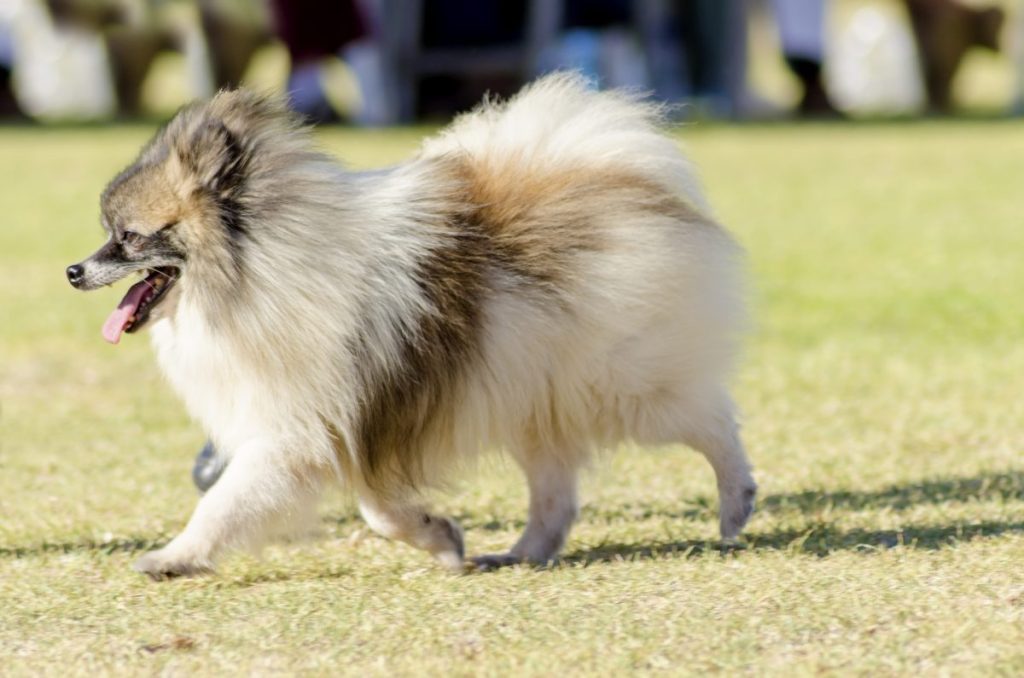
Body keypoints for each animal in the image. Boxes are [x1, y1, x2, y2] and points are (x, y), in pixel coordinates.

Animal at [64, 75, 753, 585]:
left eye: (128, 237)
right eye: (107, 234)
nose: (72, 270)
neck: (257, 271)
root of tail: (609, 176)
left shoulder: (297, 434)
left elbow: (226, 502)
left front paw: (175, 556)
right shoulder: (343, 425)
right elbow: (379, 509)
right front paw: (442, 538)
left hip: (619, 386)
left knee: (711, 419)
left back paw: (736, 502)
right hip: (533, 392)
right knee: (555, 493)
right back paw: (522, 552)